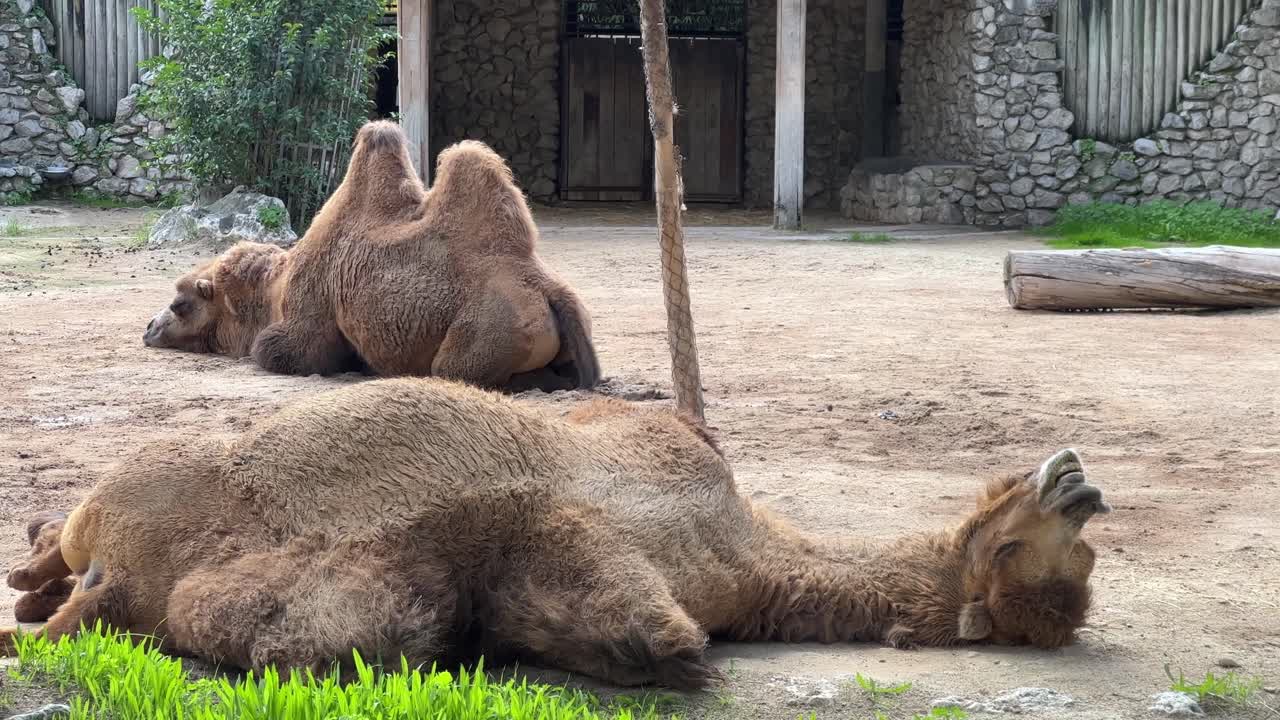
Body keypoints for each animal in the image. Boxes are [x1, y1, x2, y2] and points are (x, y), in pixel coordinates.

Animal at [142, 121, 600, 391]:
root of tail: (547, 289)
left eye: (181, 304)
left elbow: (269, 348)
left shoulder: (308, 321)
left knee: (457, 370)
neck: (272, 290)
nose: (149, 328)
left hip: (484, 334)